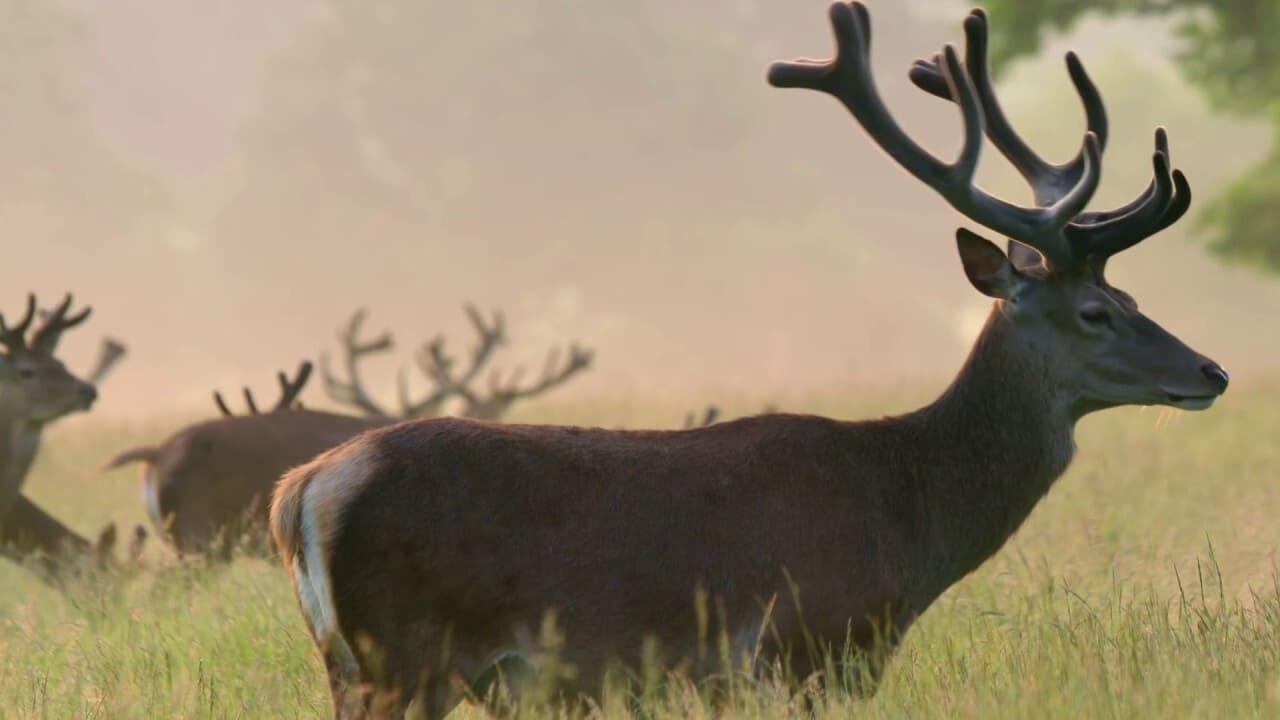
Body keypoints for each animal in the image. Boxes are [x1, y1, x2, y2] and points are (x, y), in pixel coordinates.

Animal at [267, 7, 1228, 717]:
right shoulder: (802, 646)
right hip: (402, 652)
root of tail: (301, 492)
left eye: (1130, 297)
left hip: (353, 662)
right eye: (1097, 313)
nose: (1210, 372)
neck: (909, 517)